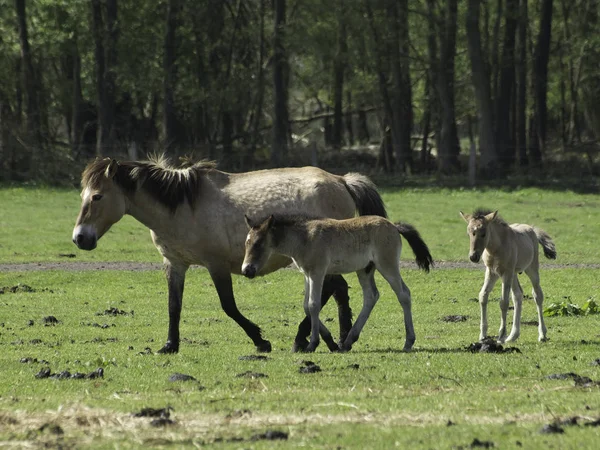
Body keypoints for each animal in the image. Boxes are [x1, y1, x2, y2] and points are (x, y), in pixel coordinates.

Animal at [72, 156, 386, 354]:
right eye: (82, 196)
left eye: (97, 196)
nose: (80, 238)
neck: (182, 206)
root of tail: (341, 181)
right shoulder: (175, 264)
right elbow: (174, 306)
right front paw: (169, 346)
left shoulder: (217, 265)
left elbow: (229, 307)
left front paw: (260, 341)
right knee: (338, 290)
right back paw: (340, 339)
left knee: (330, 291)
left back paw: (308, 339)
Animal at [239, 214, 432, 352]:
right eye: (246, 243)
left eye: (258, 243)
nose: (246, 270)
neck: (304, 238)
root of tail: (394, 225)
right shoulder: (307, 275)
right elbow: (306, 306)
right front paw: (330, 341)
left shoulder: (318, 273)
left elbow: (314, 304)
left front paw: (313, 344)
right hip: (365, 270)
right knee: (371, 296)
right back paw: (348, 342)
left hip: (387, 265)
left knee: (403, 294)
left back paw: (408, 342)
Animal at [460, 209, 556, 342]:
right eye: (469, 233)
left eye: (483, 233)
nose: (473, 257)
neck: (496, 248)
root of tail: (532, 229)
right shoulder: (492, 272)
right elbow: (483, 296)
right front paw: (483, 335)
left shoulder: (506, 273)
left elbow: (504, 302)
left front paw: (501, 335)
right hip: (514, 274)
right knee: (518, 295)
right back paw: (513, 336)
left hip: (530, 269)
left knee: (537, 295)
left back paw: (542, 334)